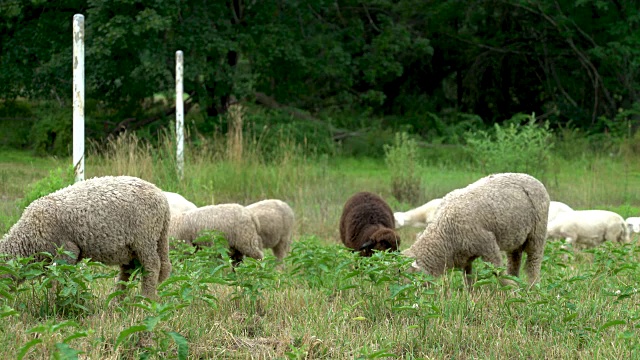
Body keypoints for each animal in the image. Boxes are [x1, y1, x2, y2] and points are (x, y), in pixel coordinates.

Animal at [0, 176, 172, 300]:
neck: (29, 239)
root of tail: (162, 198)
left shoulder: (66, 250)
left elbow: (57, 279)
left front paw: (55, 302)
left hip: (145, 238)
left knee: (152, 266)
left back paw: (146, 299)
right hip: (132, 246)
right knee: (128, 270)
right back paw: (117, 301)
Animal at [404, 173, 552, 288]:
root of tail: (533, 178)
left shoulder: (488, 244)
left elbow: (497, 271)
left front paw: (511, 288)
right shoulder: (464, 256)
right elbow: (467, 278)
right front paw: (470, 295)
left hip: (537, 233)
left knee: (533, 262)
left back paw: (532, 287)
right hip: (515, 237)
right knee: (514, 260)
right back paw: (516, 279)